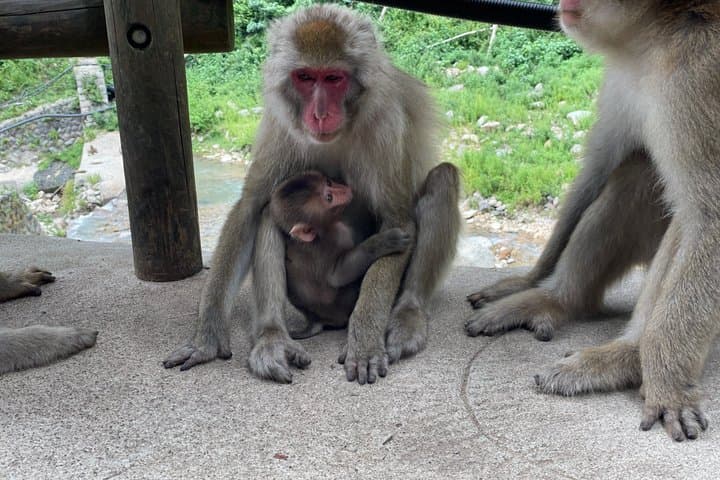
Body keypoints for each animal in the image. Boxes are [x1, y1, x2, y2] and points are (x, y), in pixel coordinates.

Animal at [269, 170, 411, 337]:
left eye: (329, 182)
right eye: (329, 198)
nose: (344, 190)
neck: (318, 234)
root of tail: (316, 319)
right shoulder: (338, 235)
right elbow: (337, 276)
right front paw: (383, 242)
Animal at [463, 0, 720, 441]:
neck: (658, 36)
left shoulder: (697, 78)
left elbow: (710, 216)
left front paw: (669, 382)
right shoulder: (623, 75)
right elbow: (597, 170)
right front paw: (529, 281)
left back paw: (633, 357)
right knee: (637, 171)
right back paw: (557, 300)